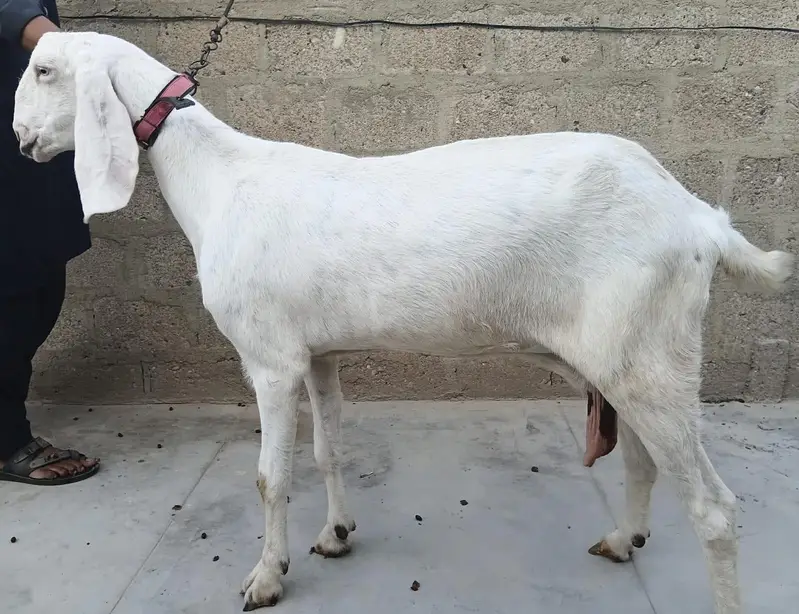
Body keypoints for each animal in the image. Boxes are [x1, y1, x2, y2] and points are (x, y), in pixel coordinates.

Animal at [13, 31, 794, 613]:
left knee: (714, 509)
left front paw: (266, 577)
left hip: (651, 354)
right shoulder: (317, 352)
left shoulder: (269, 357)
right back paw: (622, 539)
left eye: (45, 70)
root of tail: (701, 220)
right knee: (641, 461)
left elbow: (269, 475)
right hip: (629, 351)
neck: (219, 180)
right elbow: (328, 449)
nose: (20, 139)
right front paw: (335, 534)